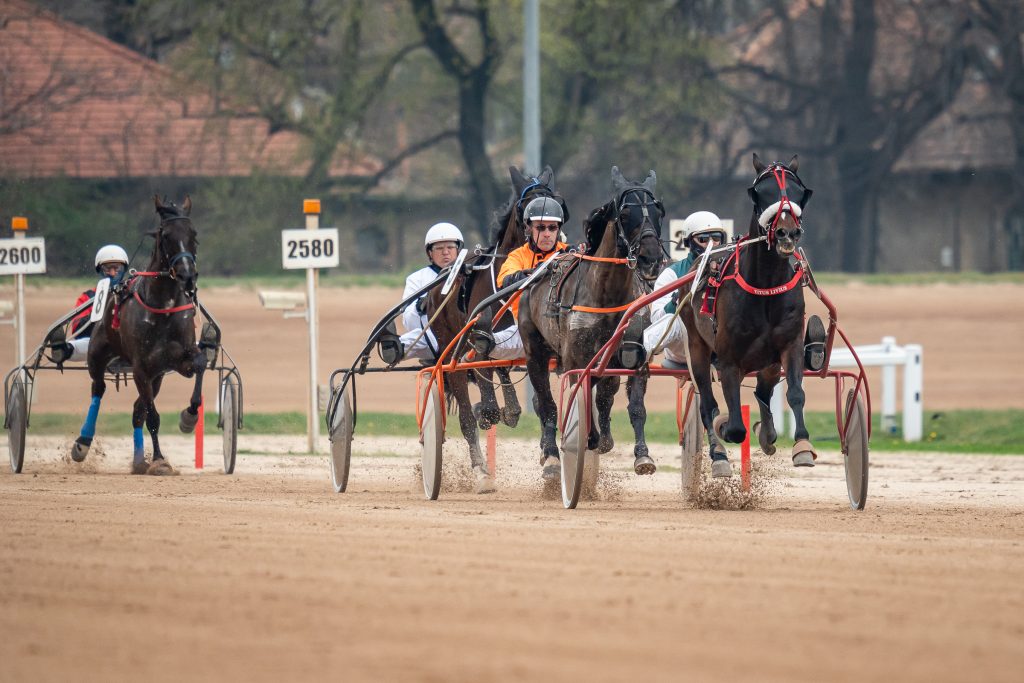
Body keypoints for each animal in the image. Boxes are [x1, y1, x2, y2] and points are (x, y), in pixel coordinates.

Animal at [70, 194, 207, 475]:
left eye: (193, 233)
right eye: (166, 235)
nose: (188, 276)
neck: (162, 306)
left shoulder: (177, 359)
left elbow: (200, 363)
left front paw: (189, 417)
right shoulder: (141, 367)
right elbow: (153, 417)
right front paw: (160, 460)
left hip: (157, 376)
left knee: (137, 409)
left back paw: (138, 461)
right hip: (97, 355)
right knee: (98, 389)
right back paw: (83, 443)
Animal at [520, 167, 663, 479]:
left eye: (659, 211)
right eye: (625, 213)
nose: (651, 258)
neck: (607, 296)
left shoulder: (633, 356)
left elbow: (635, 406)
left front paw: (642, 456)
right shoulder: (576, 358)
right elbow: (575, 401)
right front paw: (583, 440)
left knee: (603, 395)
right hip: (534, 351)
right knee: (546, 402)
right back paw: (551, 454)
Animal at [679, 154, 815, 479]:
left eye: (798, 191)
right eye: (761, 192)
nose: (787, 232)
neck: (764, 285)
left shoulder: (790, 345)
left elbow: (795, 393)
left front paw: (801, 446)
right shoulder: (729, 360)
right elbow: (733, 427)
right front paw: (725, 431)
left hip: (768, 362)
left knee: (763, 392)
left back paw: (766, 432)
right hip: (697, 347)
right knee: (707, 403)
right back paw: (718, 454)